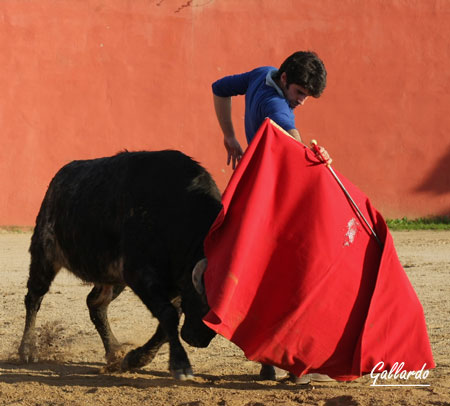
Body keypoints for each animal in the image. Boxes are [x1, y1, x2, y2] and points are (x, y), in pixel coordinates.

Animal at [19, 150, 223, 380]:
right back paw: (28, 350)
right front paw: (180, 365)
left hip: (111, 276)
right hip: (44, 254)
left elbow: (166, 323)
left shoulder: (176, 285)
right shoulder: (140, 274)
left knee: (96, 303)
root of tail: (58, 178)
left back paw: (114, 351)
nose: (197, 339)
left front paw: (135, 359)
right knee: (34, 297)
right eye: (206, 304)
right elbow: (169, 315)